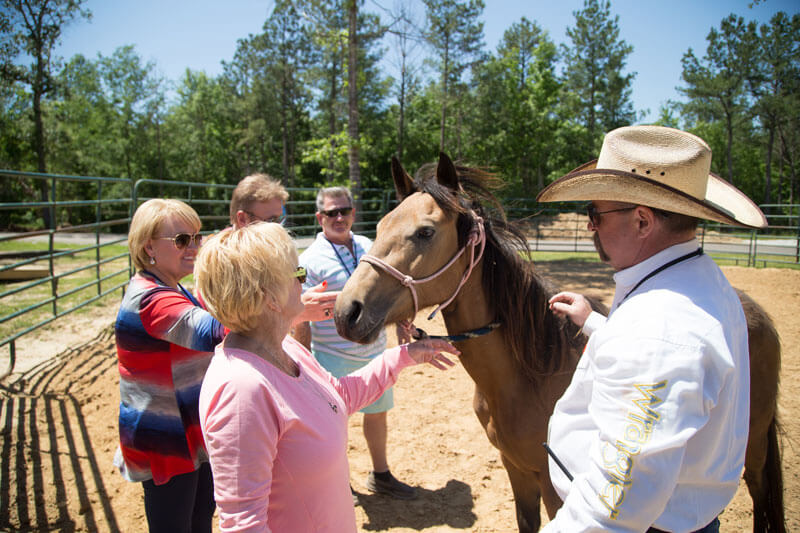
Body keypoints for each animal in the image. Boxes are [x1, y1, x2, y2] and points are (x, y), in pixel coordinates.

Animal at [334, 152, 784, 528]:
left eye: (425, 233)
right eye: (379, 227)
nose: (346, 311)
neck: (525, 374)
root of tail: (754, 311)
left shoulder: (555, 486)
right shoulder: (517, 470)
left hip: (754, 447)